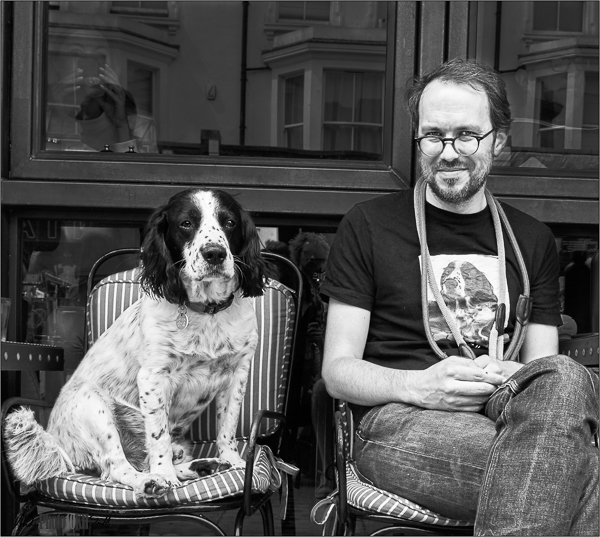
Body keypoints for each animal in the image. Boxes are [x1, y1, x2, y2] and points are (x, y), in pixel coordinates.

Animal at [4, 189, 268, 498]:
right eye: (186, 224)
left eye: (229, 222)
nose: (214, 253)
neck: (206, 312)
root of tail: (57, 442)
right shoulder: (153, 377)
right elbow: (158, 438)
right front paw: (164, 476)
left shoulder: (237, 373)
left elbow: (227, 426)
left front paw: (233, 461)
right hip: (93, 407)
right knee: (116, 468)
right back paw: (151, 481)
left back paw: (204, 466)